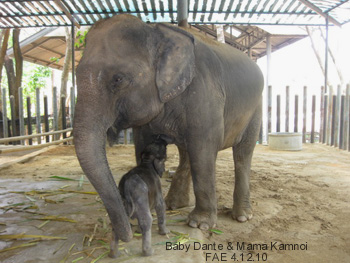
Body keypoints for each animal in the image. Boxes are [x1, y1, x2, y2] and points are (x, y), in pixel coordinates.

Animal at [74, 14, 262, 245]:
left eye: (118, 79)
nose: (125, 235)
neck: (157, 31)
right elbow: (143, 145)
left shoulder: (205, 94)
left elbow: (204, 150)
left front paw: (199, 224)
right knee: (187, 153)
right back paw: (174, 204)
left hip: (256, 108)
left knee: (242, 154)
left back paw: (242, 216)